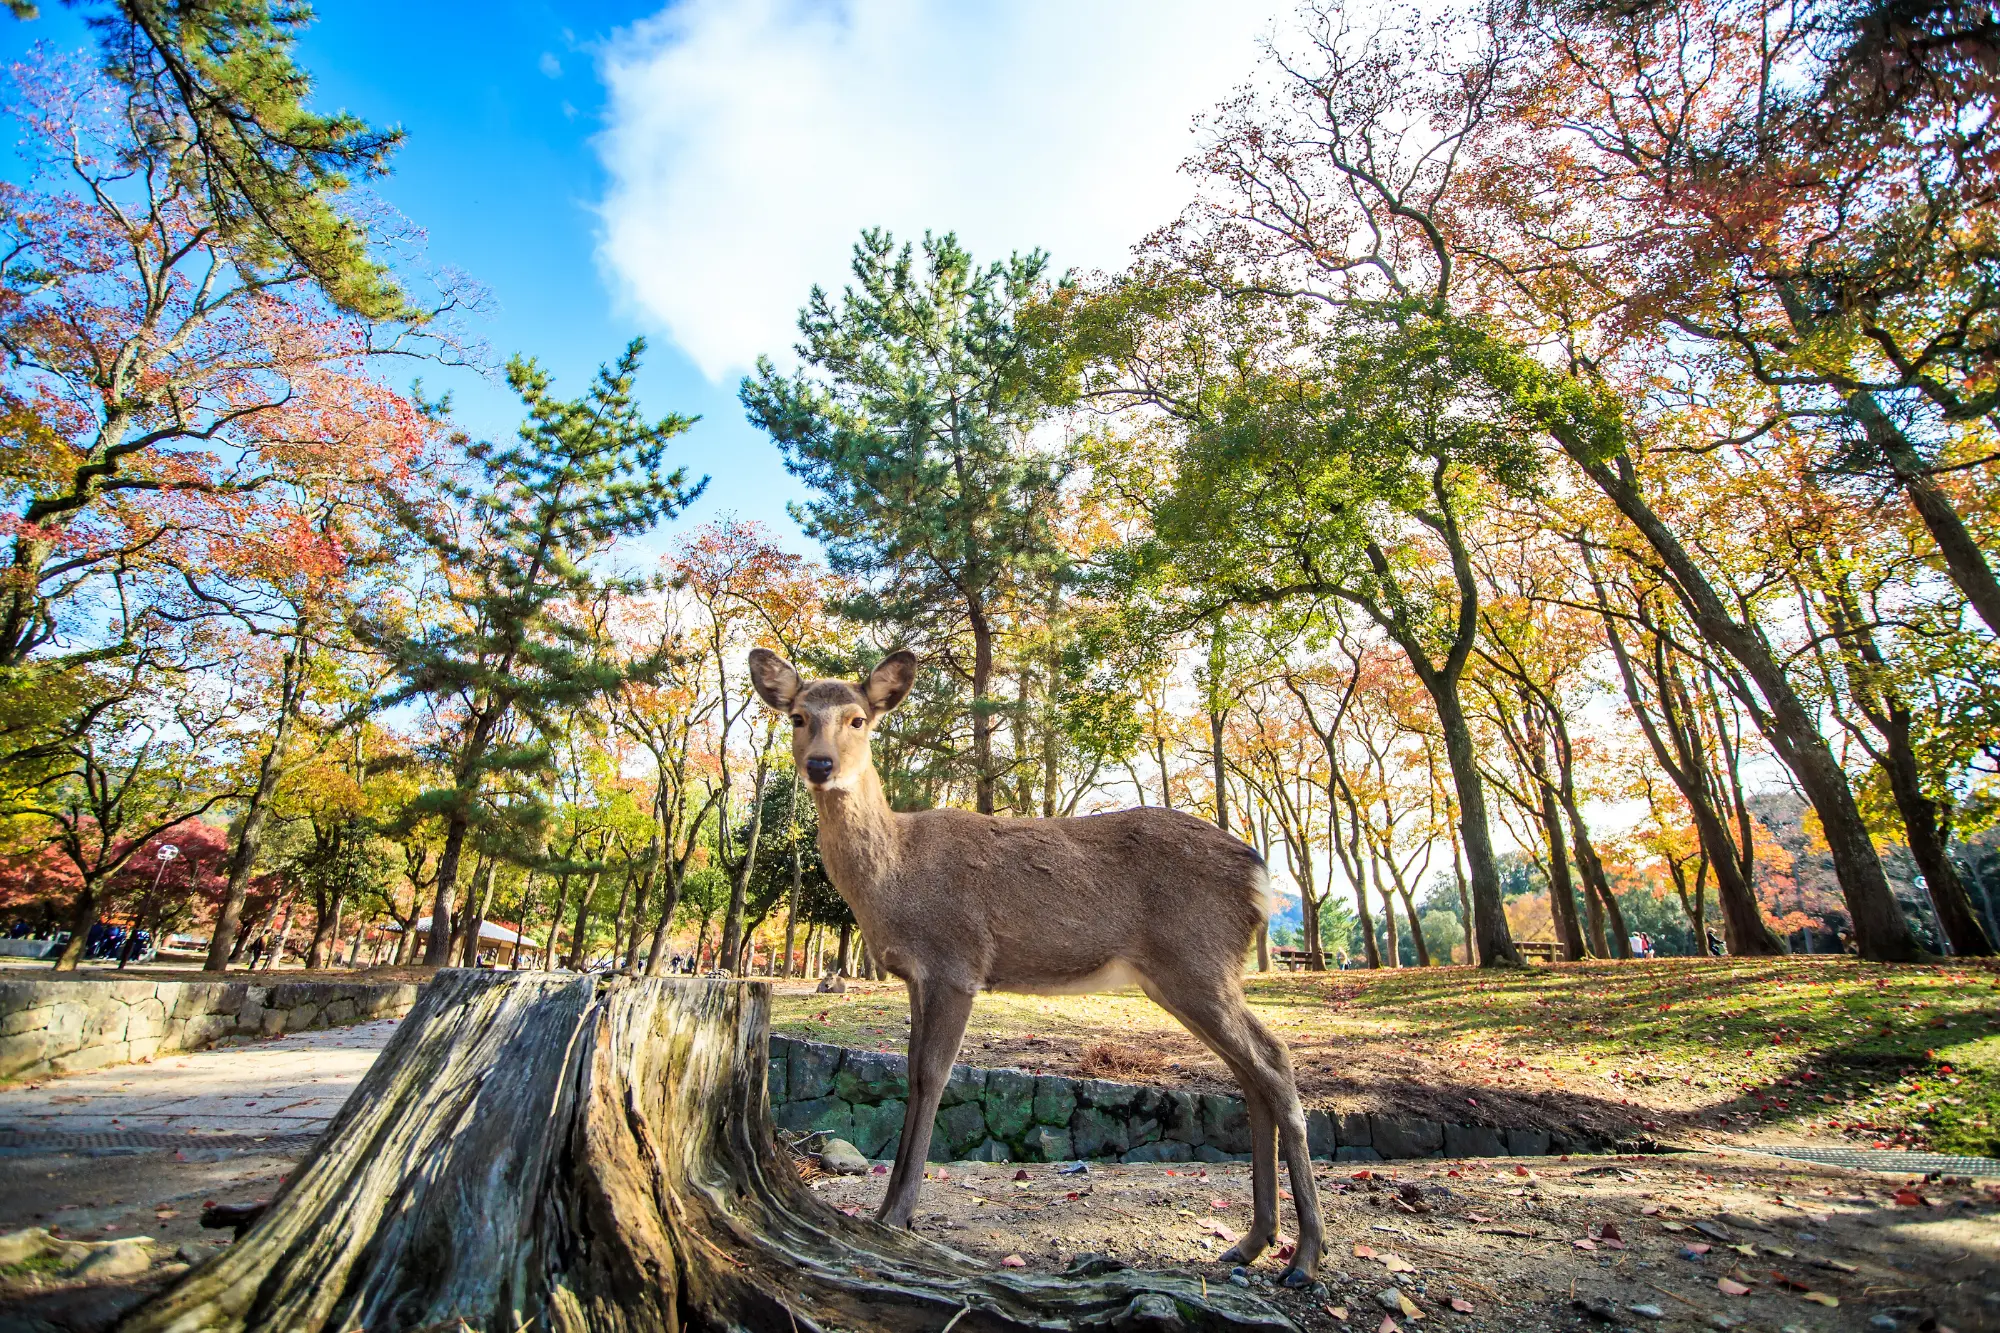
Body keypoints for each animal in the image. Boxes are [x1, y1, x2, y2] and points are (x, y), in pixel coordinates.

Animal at [748, 647, 1326, 1286]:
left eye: (857, 719)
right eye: (798, 716)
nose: (820, 765)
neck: (894, 879)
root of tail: (1260, 878)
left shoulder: (956, 962)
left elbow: (931, 1076)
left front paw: (897, 1214)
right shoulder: (919, 976)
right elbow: (913, 1074)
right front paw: (889, 1209)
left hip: (1197, 961)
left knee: (1273, 1059)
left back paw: (1304, 1257)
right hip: (1188, 974)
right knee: (1251, 1072)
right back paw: (1251, 1242)